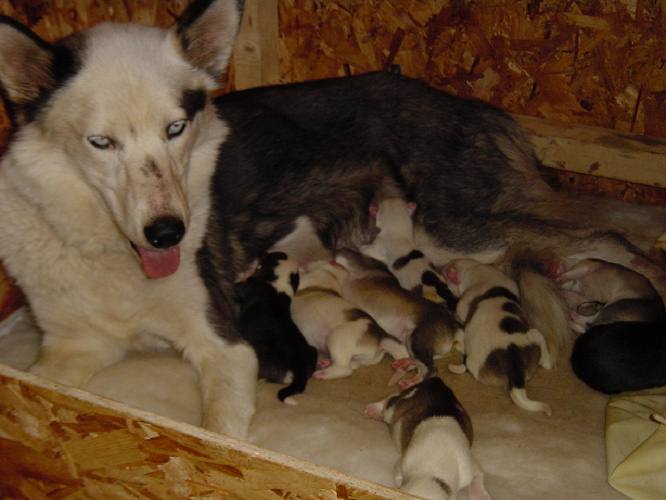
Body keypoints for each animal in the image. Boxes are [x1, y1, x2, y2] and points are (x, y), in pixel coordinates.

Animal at [332, 250, 462, 386]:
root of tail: (453, 326)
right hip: (416, 345)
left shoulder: (355, 262)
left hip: (416, 339)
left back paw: (411, 381)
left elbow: (342, 258)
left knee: (430, 369)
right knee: (419, 362)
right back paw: (404, 364)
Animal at [440, 258, 548, 414]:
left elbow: (461, 309)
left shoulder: (465, 300)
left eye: (444, 275)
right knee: (541, 341)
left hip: (475, 361)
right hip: (531, 336)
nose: (439, 268)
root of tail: (514, 369)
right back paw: (546, 361)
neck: (475, 268)